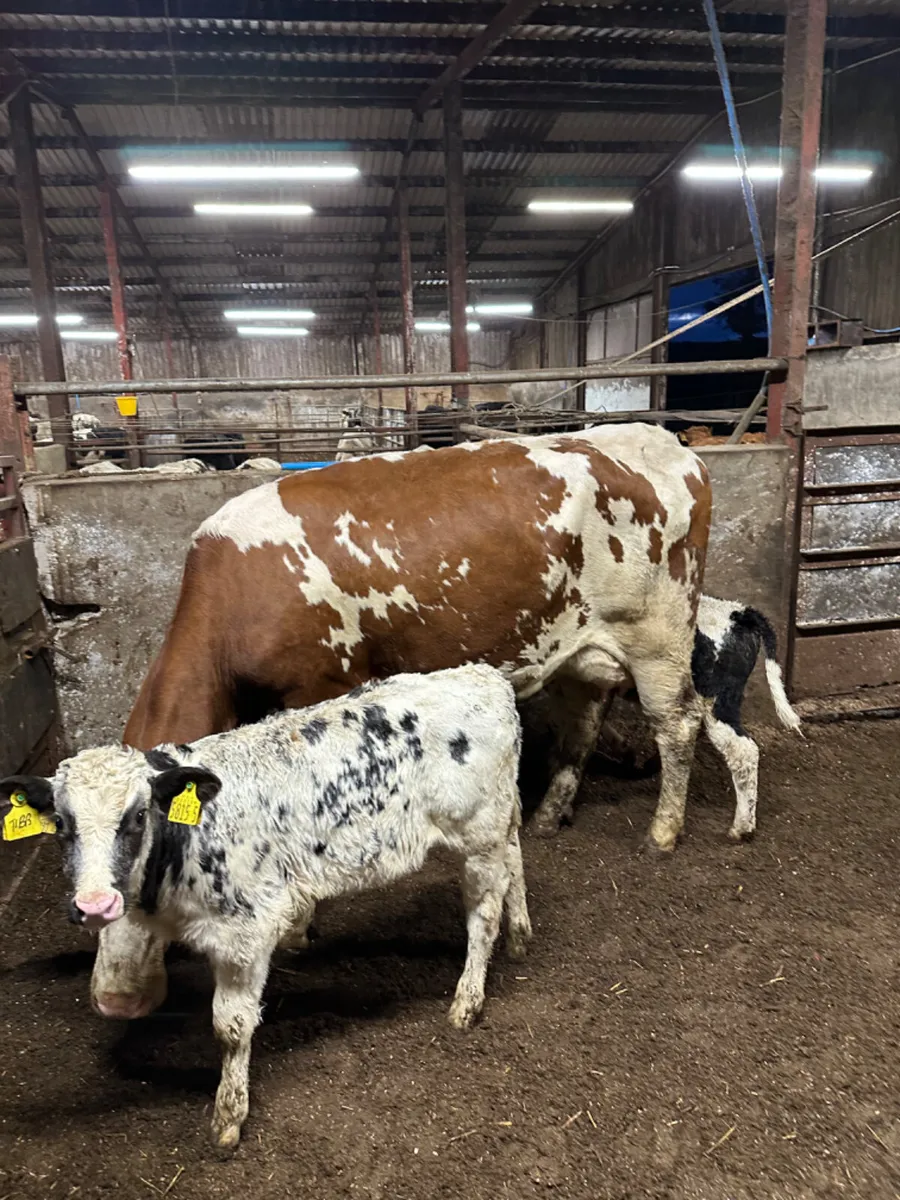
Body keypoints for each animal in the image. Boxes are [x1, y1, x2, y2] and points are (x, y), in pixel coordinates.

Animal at [1, 665, 531, 1148]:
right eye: (62, 823)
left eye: (136, 815)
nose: (95, 903)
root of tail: (483, 676)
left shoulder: (243, 934)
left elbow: (231, 1027)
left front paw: (228, 1118)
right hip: (500, 821)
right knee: (515, 856)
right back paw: (521, 935)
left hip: (478, 835)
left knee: (483, 913)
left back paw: (468, 999)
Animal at [92, 422, 710, 1020]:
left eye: (149, 877)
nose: (114, 1002)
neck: (239, 590)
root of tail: (664, 442)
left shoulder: (318, 689)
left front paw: (300, 926)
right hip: (583, 646)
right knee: (584, 721)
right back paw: (549, 814)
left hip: (658, 635)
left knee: (678, 724)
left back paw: (662, 832)